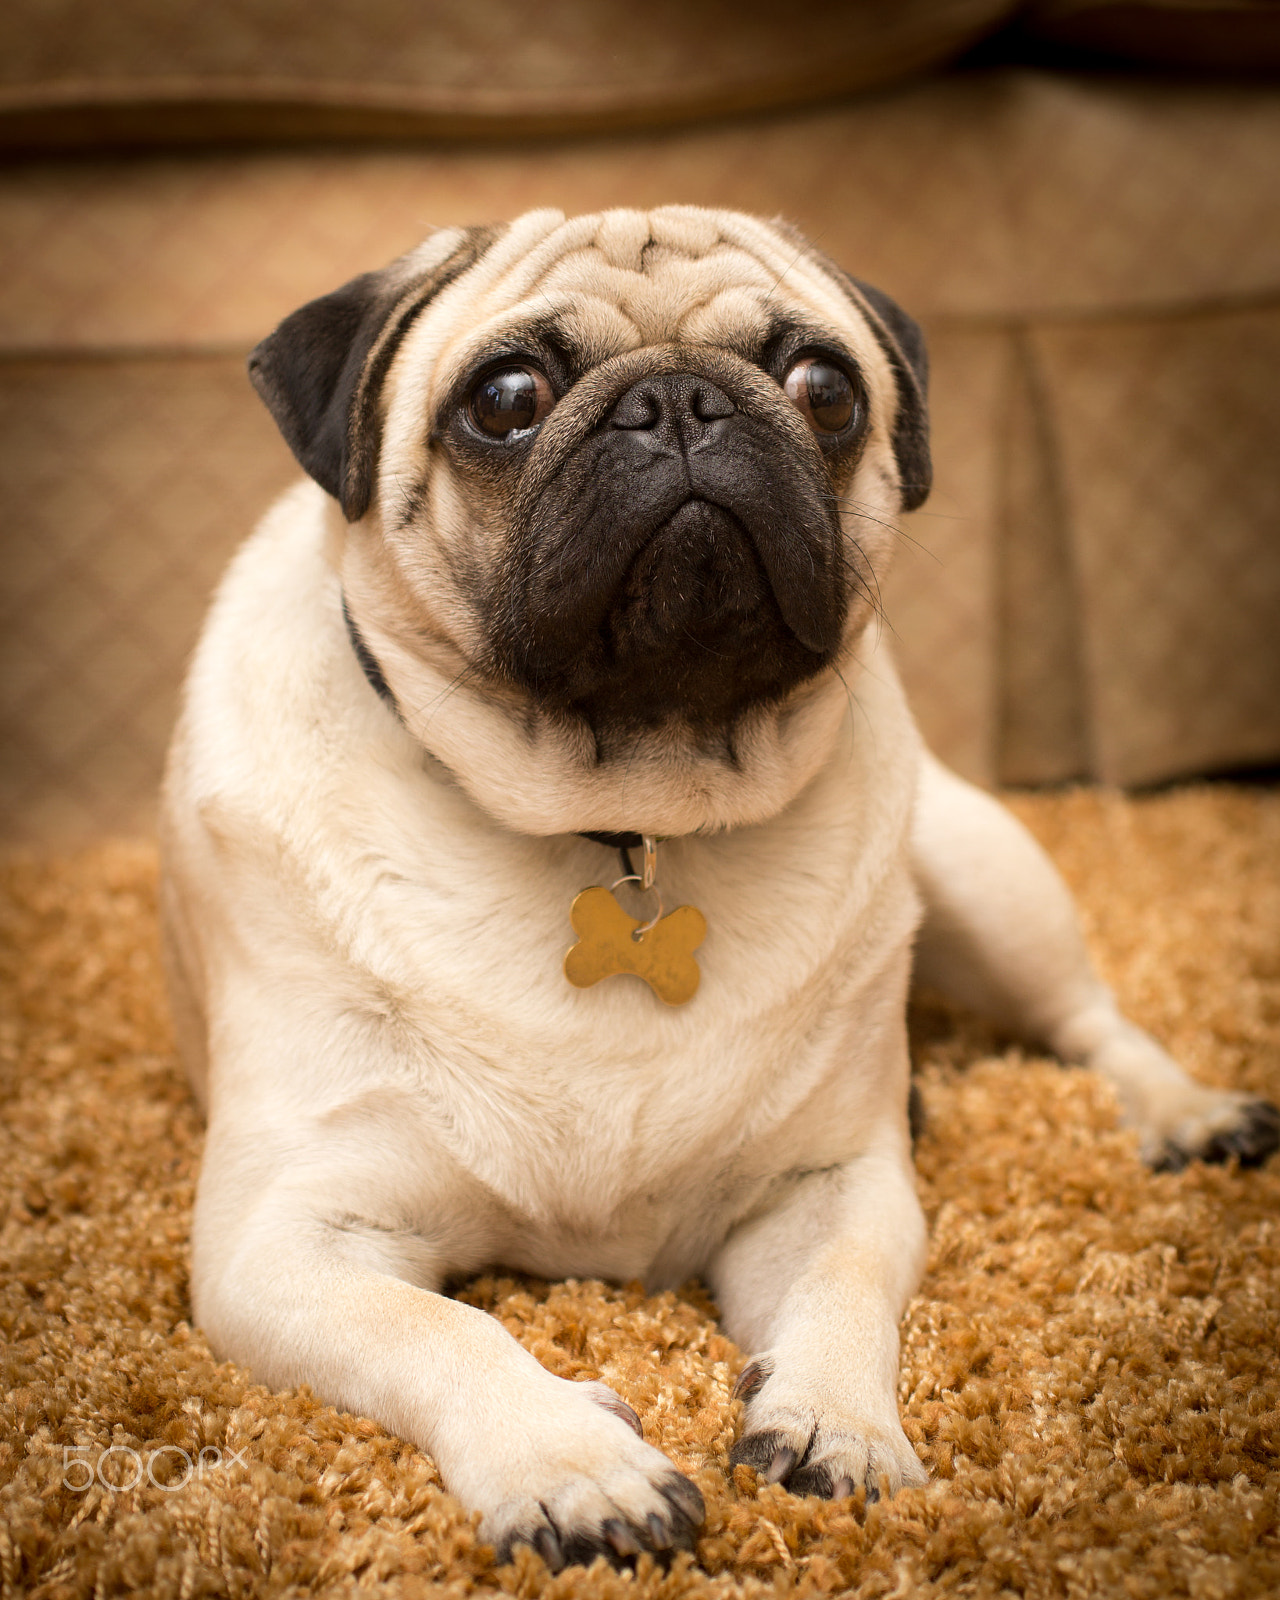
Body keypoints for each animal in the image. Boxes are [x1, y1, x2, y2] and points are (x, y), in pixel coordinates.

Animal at [160, 206, 1280, 1568]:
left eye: (822, 388)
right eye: (505, 400)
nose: (678, 400)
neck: (629, 821)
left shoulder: (830, 1184)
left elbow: (842, 1293)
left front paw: (835, 1422)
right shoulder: (284, 1241)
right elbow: (442, 1329)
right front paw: (571, 1464)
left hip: (981, 873)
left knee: (1089, 1021)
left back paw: (1185, 1114)